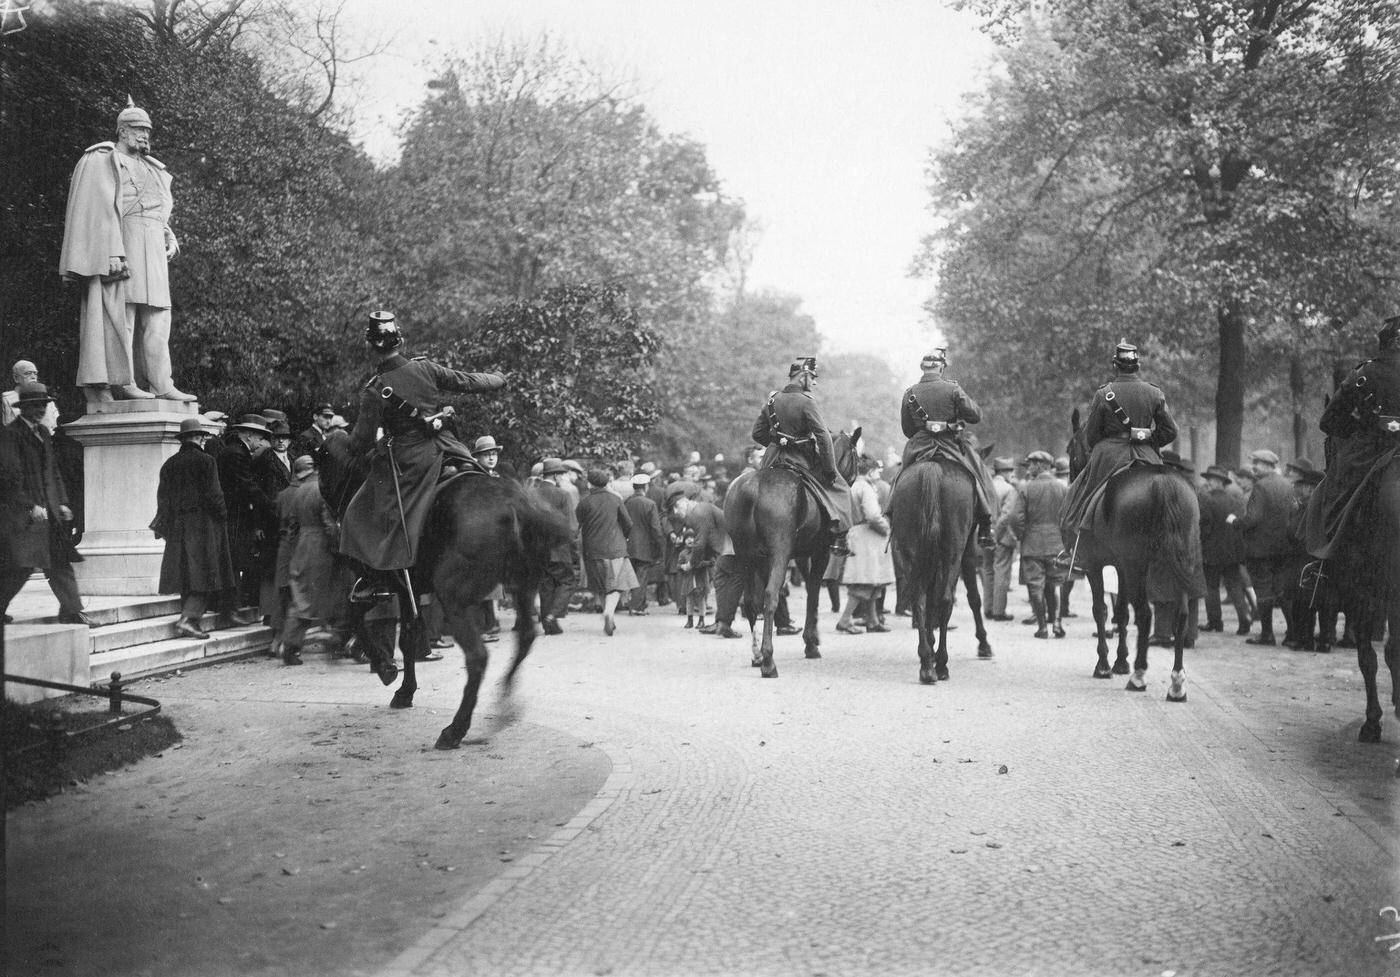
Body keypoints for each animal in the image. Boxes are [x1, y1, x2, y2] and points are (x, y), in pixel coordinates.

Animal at [320, 433, 568, 744]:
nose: (331, 528)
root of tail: (514, 504)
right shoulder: (408, 590)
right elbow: (408, 637)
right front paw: (404, 690)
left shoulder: (382, 584)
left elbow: (356, 616)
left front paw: (386, 668)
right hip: (523, 585)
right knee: (525, 637)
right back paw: (504, 703)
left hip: (455, 599)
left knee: (477, 657)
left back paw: (455, 730)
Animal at [728, 428, 856, 677]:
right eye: (857, 457)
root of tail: (752, 488)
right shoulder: (819, 553)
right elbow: (813, 593)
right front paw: (811, 644)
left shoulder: (788, 557)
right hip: (780, 553)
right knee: (770, 596)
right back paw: (768, 662)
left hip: (745, 557)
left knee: (751, 601)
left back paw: (757, 655)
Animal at [890, 453, 991, 680]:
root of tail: (933, 468)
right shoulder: (967, 551)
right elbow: (974, 597)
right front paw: (983, 643)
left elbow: (930, 601)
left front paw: (931, 644)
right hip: (953, 551)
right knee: (945, 599)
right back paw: (942, 665)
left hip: (912, 551)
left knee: (919, 598)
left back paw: (926, 664)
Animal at [1064, 405, 1198, 697]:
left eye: (1070, 449)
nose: (1071, 476)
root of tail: (1162, 482)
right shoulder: (1121, 566)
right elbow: (1121, 611)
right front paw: (1120, 661)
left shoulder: (1095, 564)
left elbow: (1101, 609)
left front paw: (1105, 665)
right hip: (1179, 561)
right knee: (1180, 613)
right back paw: (1177, 682)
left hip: (1138, 565)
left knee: (1145, 613)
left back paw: (1139, 675)